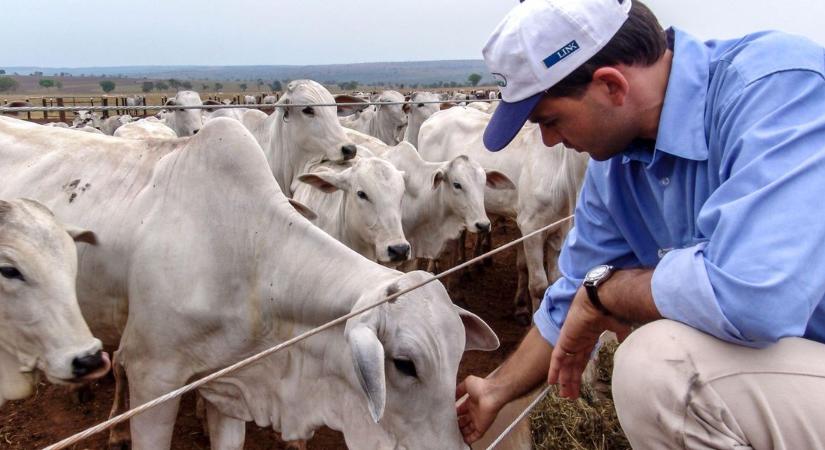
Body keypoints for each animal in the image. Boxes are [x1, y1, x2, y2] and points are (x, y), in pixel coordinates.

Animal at [418, 107, 584, 322]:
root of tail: (436, 115)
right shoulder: (531, 228)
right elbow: (538, 286)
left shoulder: (558, 231)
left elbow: (549, 280)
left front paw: (521, 307)